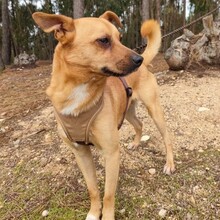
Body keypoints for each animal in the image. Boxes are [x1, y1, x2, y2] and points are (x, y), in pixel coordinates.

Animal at [32, 10, 174, 220]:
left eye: (120, 38)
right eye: (104, 40)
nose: (138, 59)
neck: (79, 90)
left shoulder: (111, 153)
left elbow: (108, 194)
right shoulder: (81, 153)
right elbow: (93, 189)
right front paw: (93, 212)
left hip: (154, 110)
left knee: (166, 138)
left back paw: (170, 163)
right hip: (127, 111)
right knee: (139, 124)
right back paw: (135, 143)